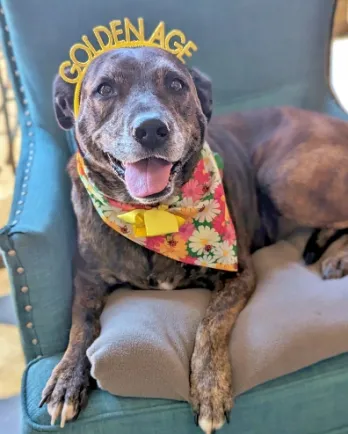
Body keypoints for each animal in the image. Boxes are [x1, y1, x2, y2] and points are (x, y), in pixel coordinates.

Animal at [40, 45, 348, 432]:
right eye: (105, 89)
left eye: (176, 84)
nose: (151, 129)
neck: (152, 216)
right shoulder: (86, 278)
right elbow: (80, 325)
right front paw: (66, 378)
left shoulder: (239, 274)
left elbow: (210, 325)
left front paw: (210, 388)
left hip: (283, 178)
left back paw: (338, 256)